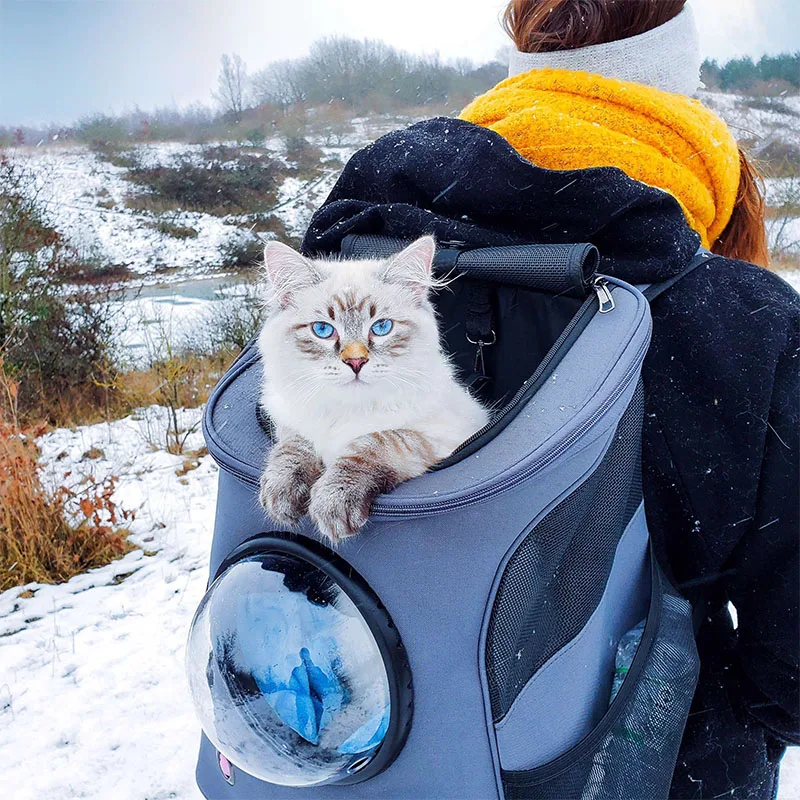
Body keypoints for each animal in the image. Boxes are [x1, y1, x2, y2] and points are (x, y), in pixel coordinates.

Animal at [260, 233, 490, 544]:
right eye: (323, 330)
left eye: (381, 327)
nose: (356, 361)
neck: (347, 411)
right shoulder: (293, 419)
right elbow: (294, 447)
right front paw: (281, 494)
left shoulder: (441, 436)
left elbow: (372, 443)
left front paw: (332, 500)